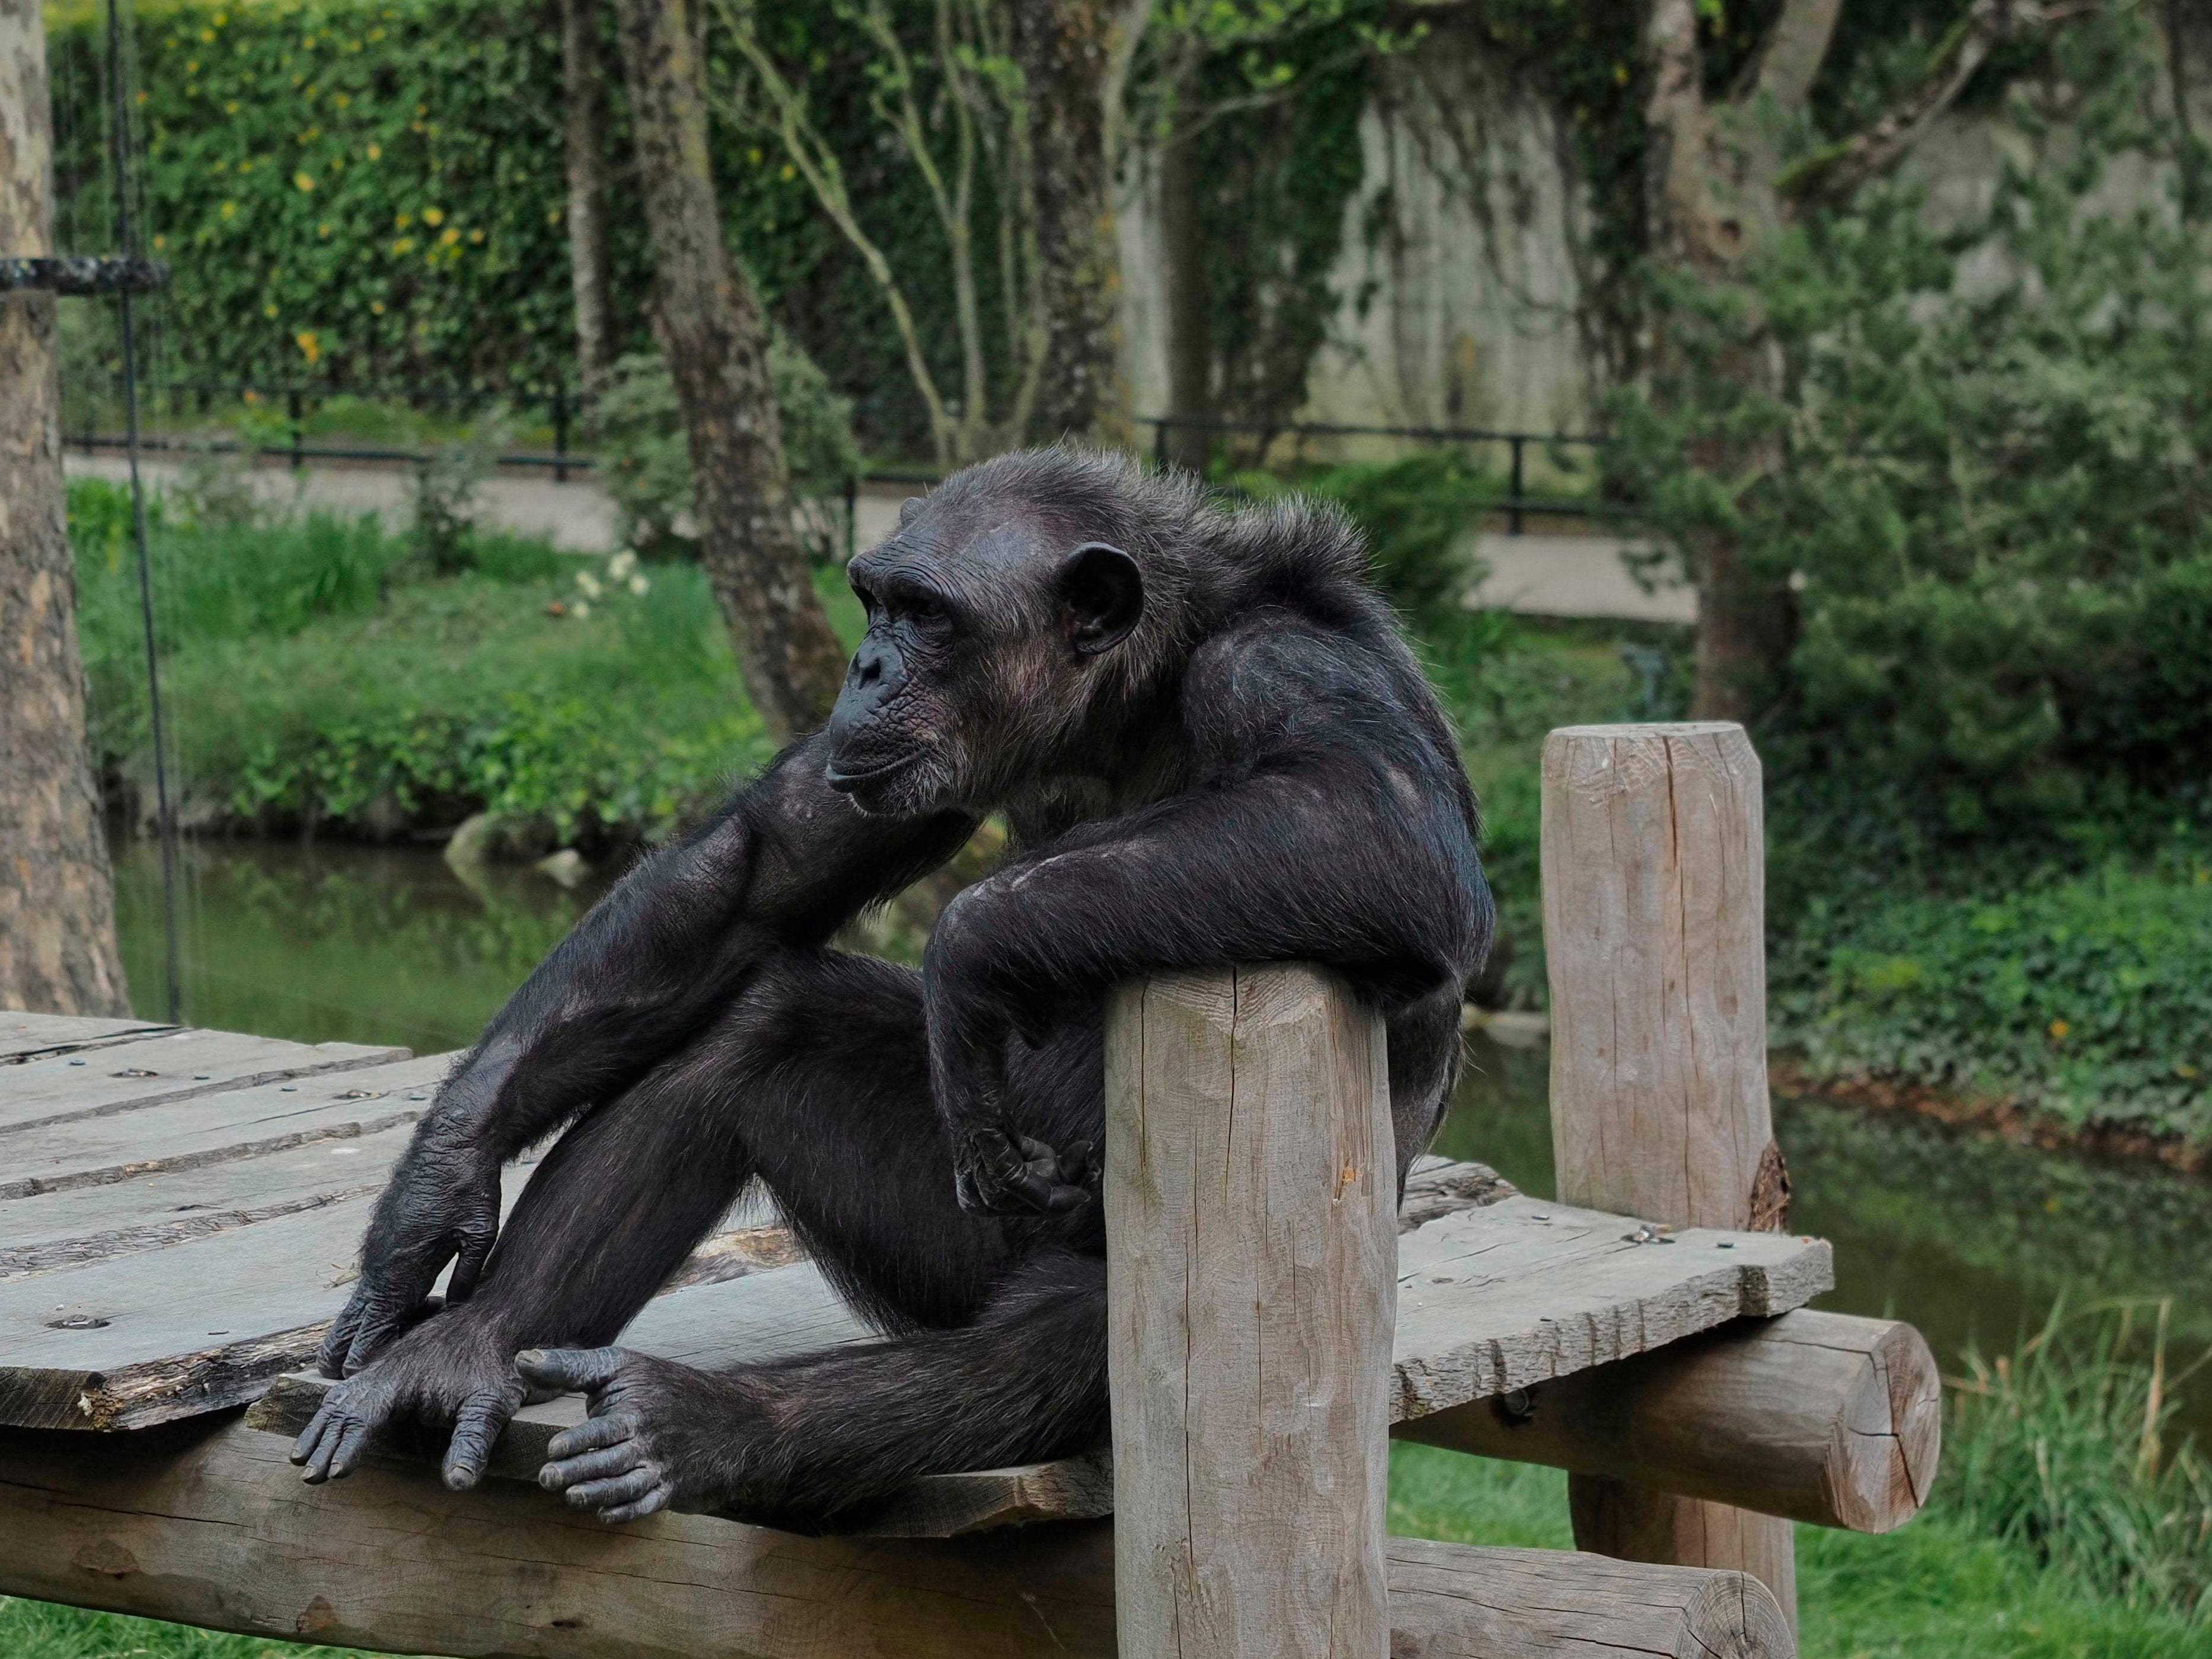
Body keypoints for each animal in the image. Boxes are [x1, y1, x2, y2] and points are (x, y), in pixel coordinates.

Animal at [290, 446, 1492, 1526]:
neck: (1129, 698)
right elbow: (760, 870)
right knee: (757, 1022)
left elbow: (1373, 823)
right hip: (944, 1246)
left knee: (1049, 1344)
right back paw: (462, 1352)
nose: (865, 666)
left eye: (927, 613)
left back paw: (692, 1424)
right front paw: (431, 1199)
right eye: (876, 602)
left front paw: (967, 947)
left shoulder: (1286, 668)